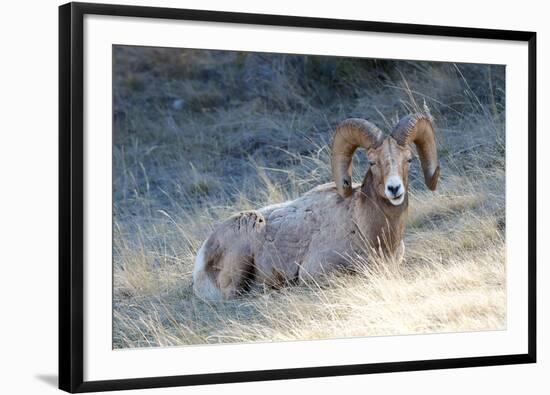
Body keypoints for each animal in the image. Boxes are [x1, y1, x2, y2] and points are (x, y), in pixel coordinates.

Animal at [194, 111, 440, 300]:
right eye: (372, 162)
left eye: (408, 159)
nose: (394, 189)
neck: (366, 227)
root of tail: (202, 255)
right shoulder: (316, 271)